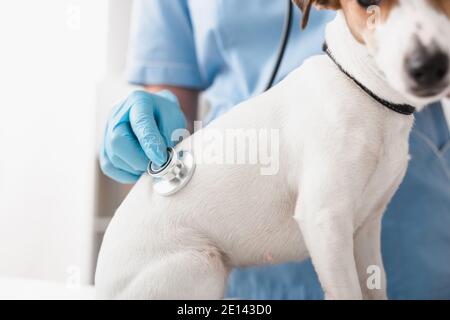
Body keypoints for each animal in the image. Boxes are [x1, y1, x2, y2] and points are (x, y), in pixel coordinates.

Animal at [96, 0, 450, 300]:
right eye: (366, 3)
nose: (430, 66)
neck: (363, 89)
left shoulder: (366, 228)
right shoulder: (324, 220)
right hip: (202, 264)